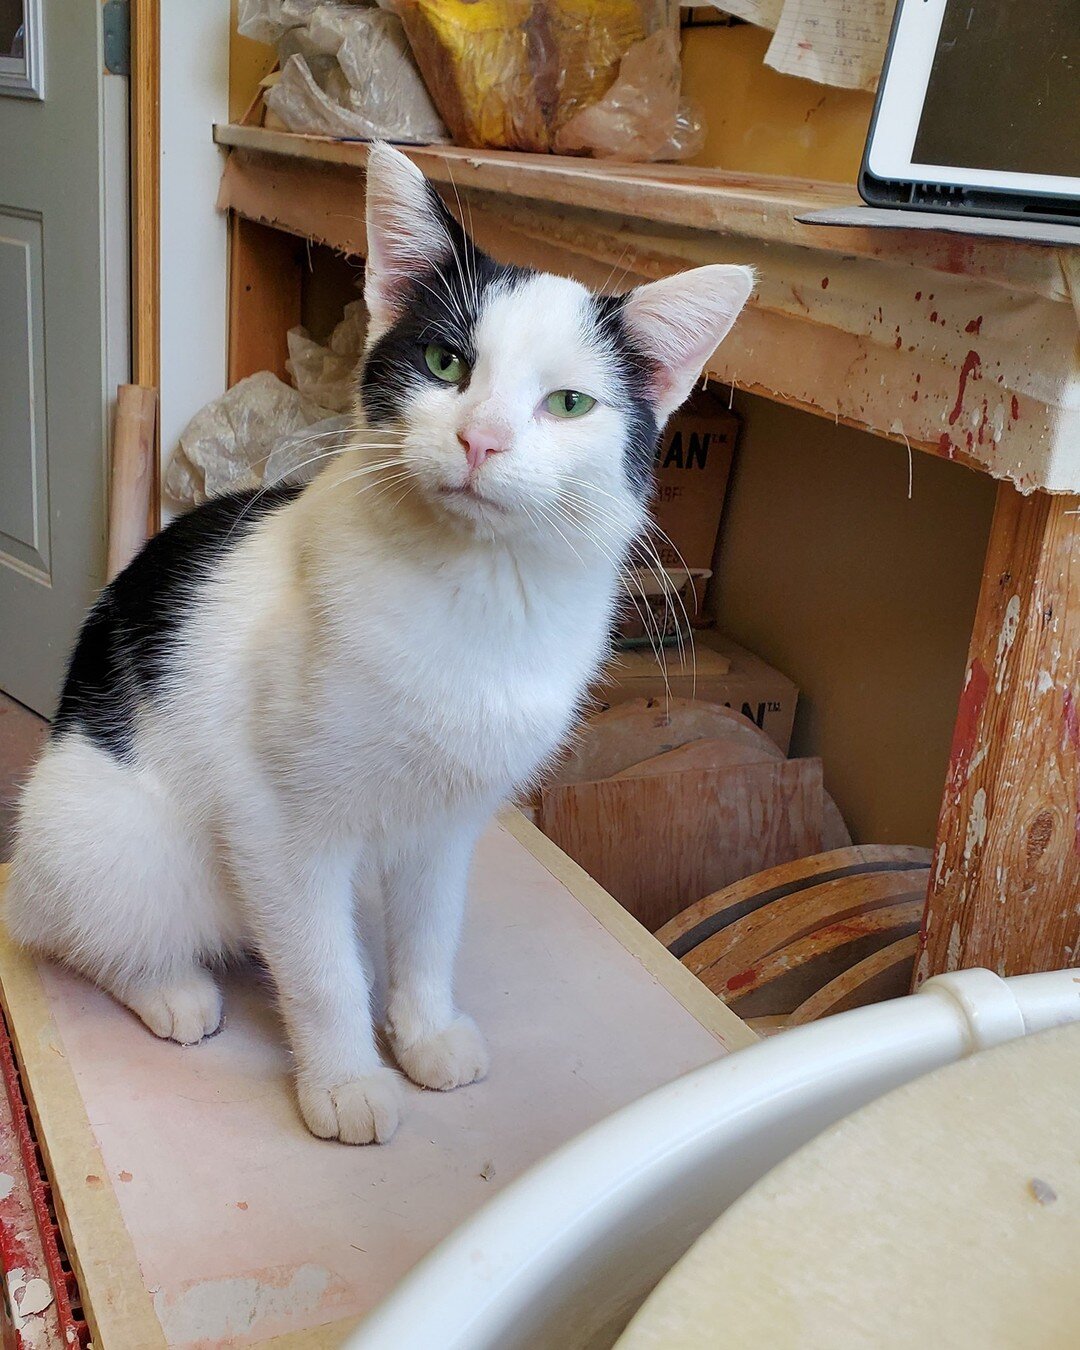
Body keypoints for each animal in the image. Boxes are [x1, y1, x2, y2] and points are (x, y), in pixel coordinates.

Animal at [6, 145, 750, 1139]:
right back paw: (169, 988)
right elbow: (320, 973)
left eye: (568, 404)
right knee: (76, 927)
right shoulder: (279, 824)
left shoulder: (449, 823)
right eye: (444, 361)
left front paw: (423, 1031)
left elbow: (430, 934)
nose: (482, 439)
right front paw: (347, 1080)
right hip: (110, 837)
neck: (472, 599)